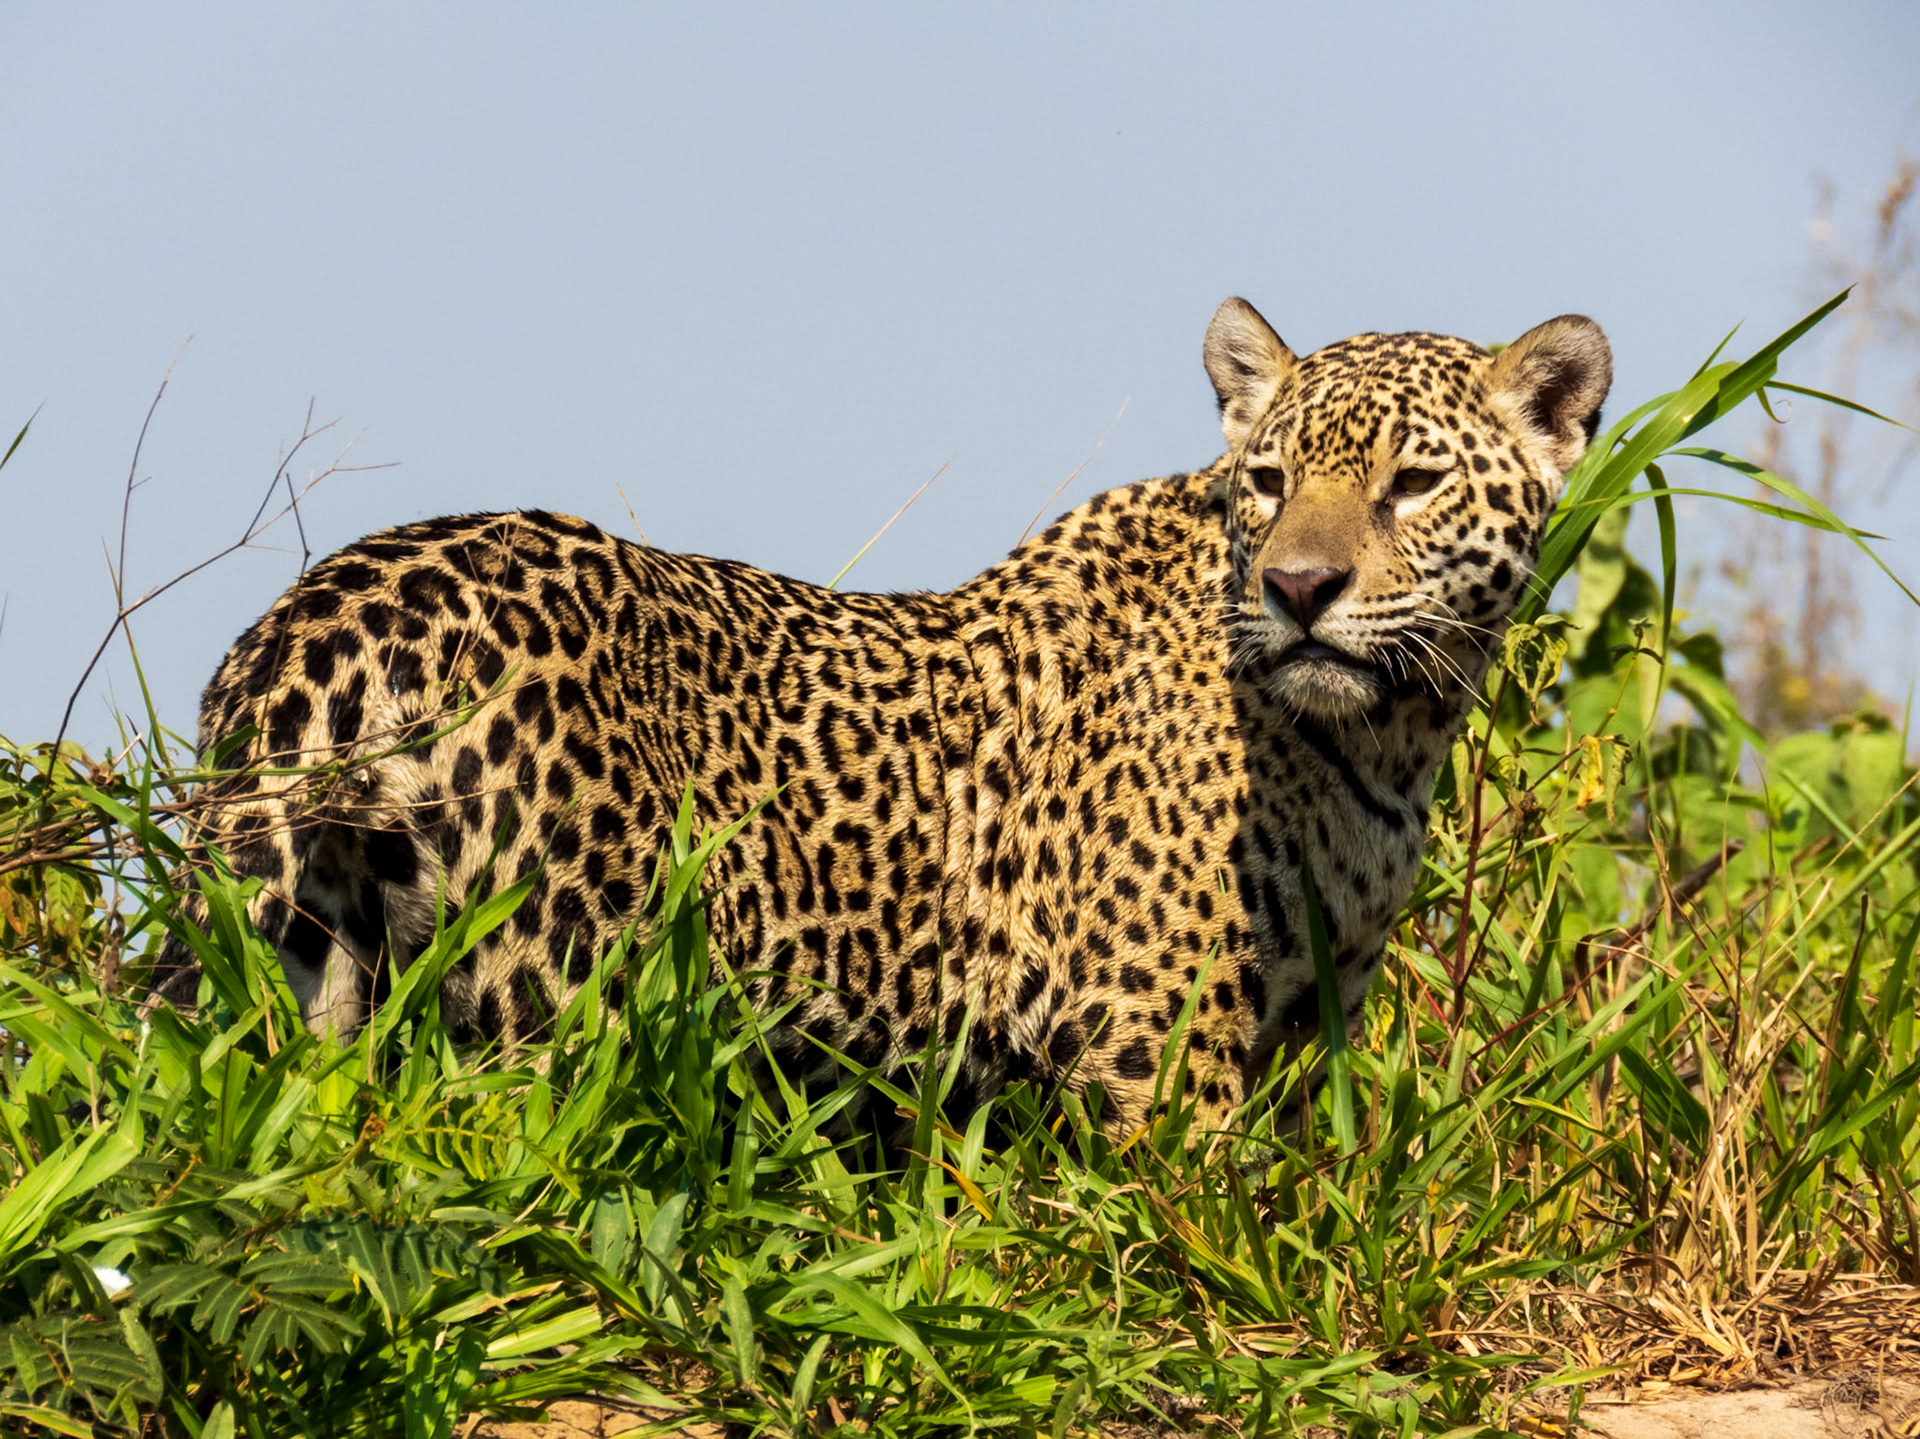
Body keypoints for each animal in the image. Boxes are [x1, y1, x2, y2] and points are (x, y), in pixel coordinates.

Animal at [150, 297, 1610, 1135]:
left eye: (1413, 483)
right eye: (1266, 481)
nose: (1299, 589)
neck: (1387, 736)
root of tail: (325, 608)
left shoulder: (1320, 1005)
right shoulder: (1152, 1029)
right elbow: (1195, 1216)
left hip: (313, 956)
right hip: (551, 984)